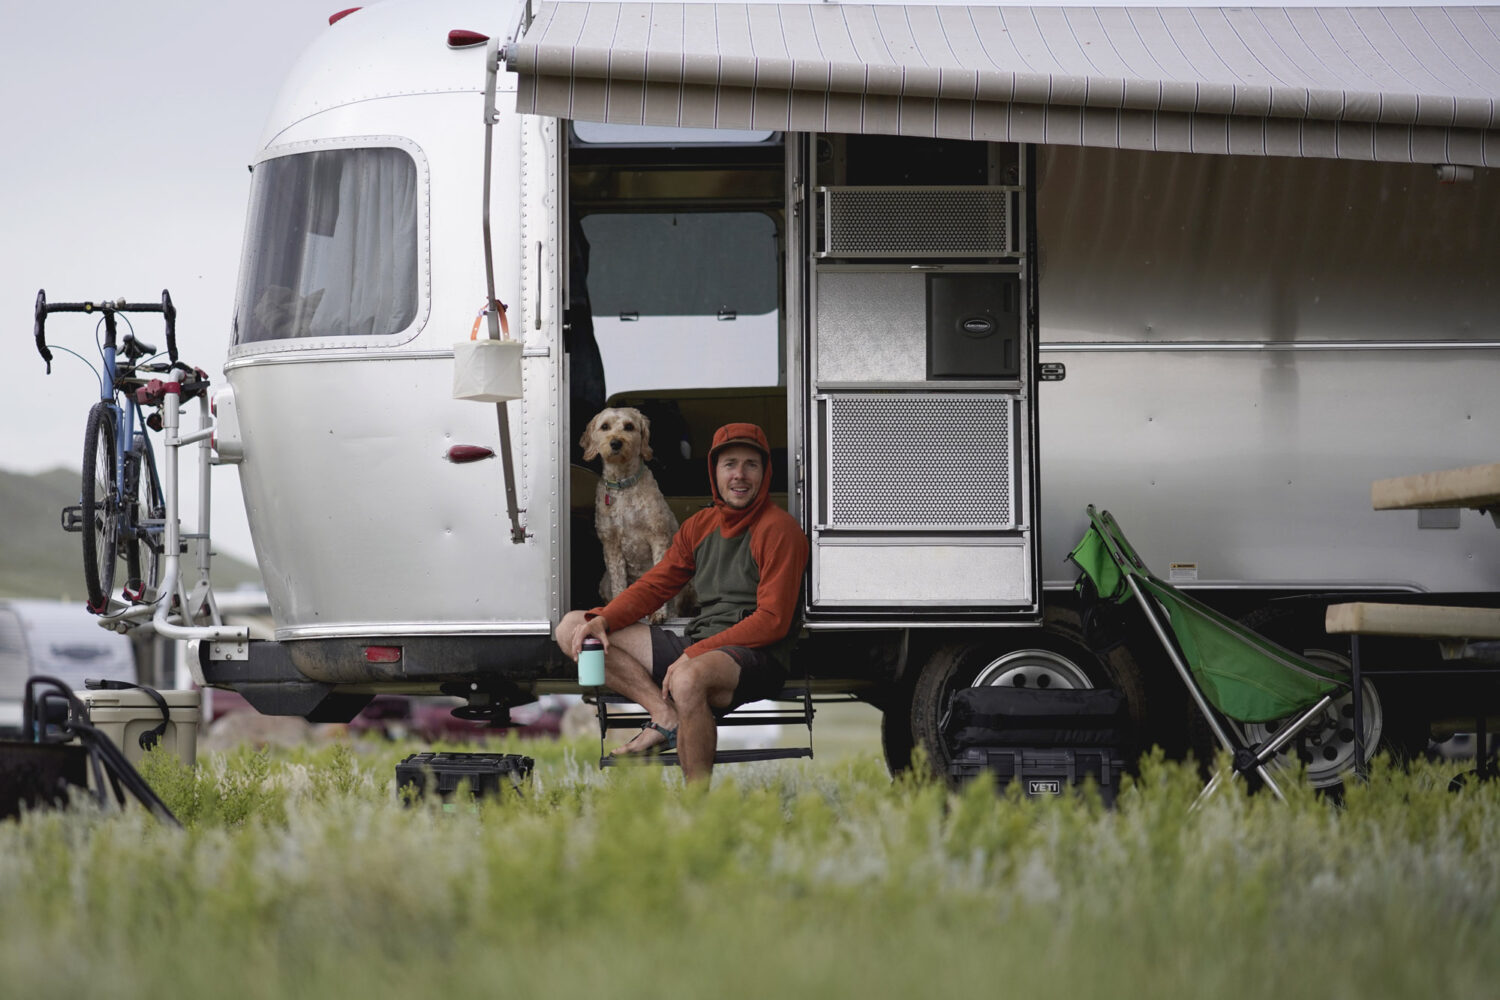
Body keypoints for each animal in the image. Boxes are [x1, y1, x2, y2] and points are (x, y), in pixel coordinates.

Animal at [580, 407, 691, 623]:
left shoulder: (658, 537)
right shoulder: (611, 544)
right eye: (604, 426)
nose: (616, 442)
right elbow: (618, 583)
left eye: (629, 426)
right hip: (604, 581)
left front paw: (658, 613)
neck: (624, 484)